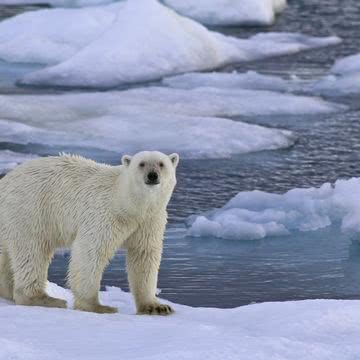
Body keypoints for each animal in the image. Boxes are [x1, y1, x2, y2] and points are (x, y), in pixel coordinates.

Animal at [0, 150, 179, 314]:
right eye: (141, 164)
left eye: (161, 164)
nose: (152, 175)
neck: (128, 205)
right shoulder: (105, 214)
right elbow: (91, 252)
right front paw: (97, 306)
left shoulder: (149, 221)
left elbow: (144, 255)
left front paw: (157, 307)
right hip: (30, 210)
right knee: (32, 251)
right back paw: (44, 299)